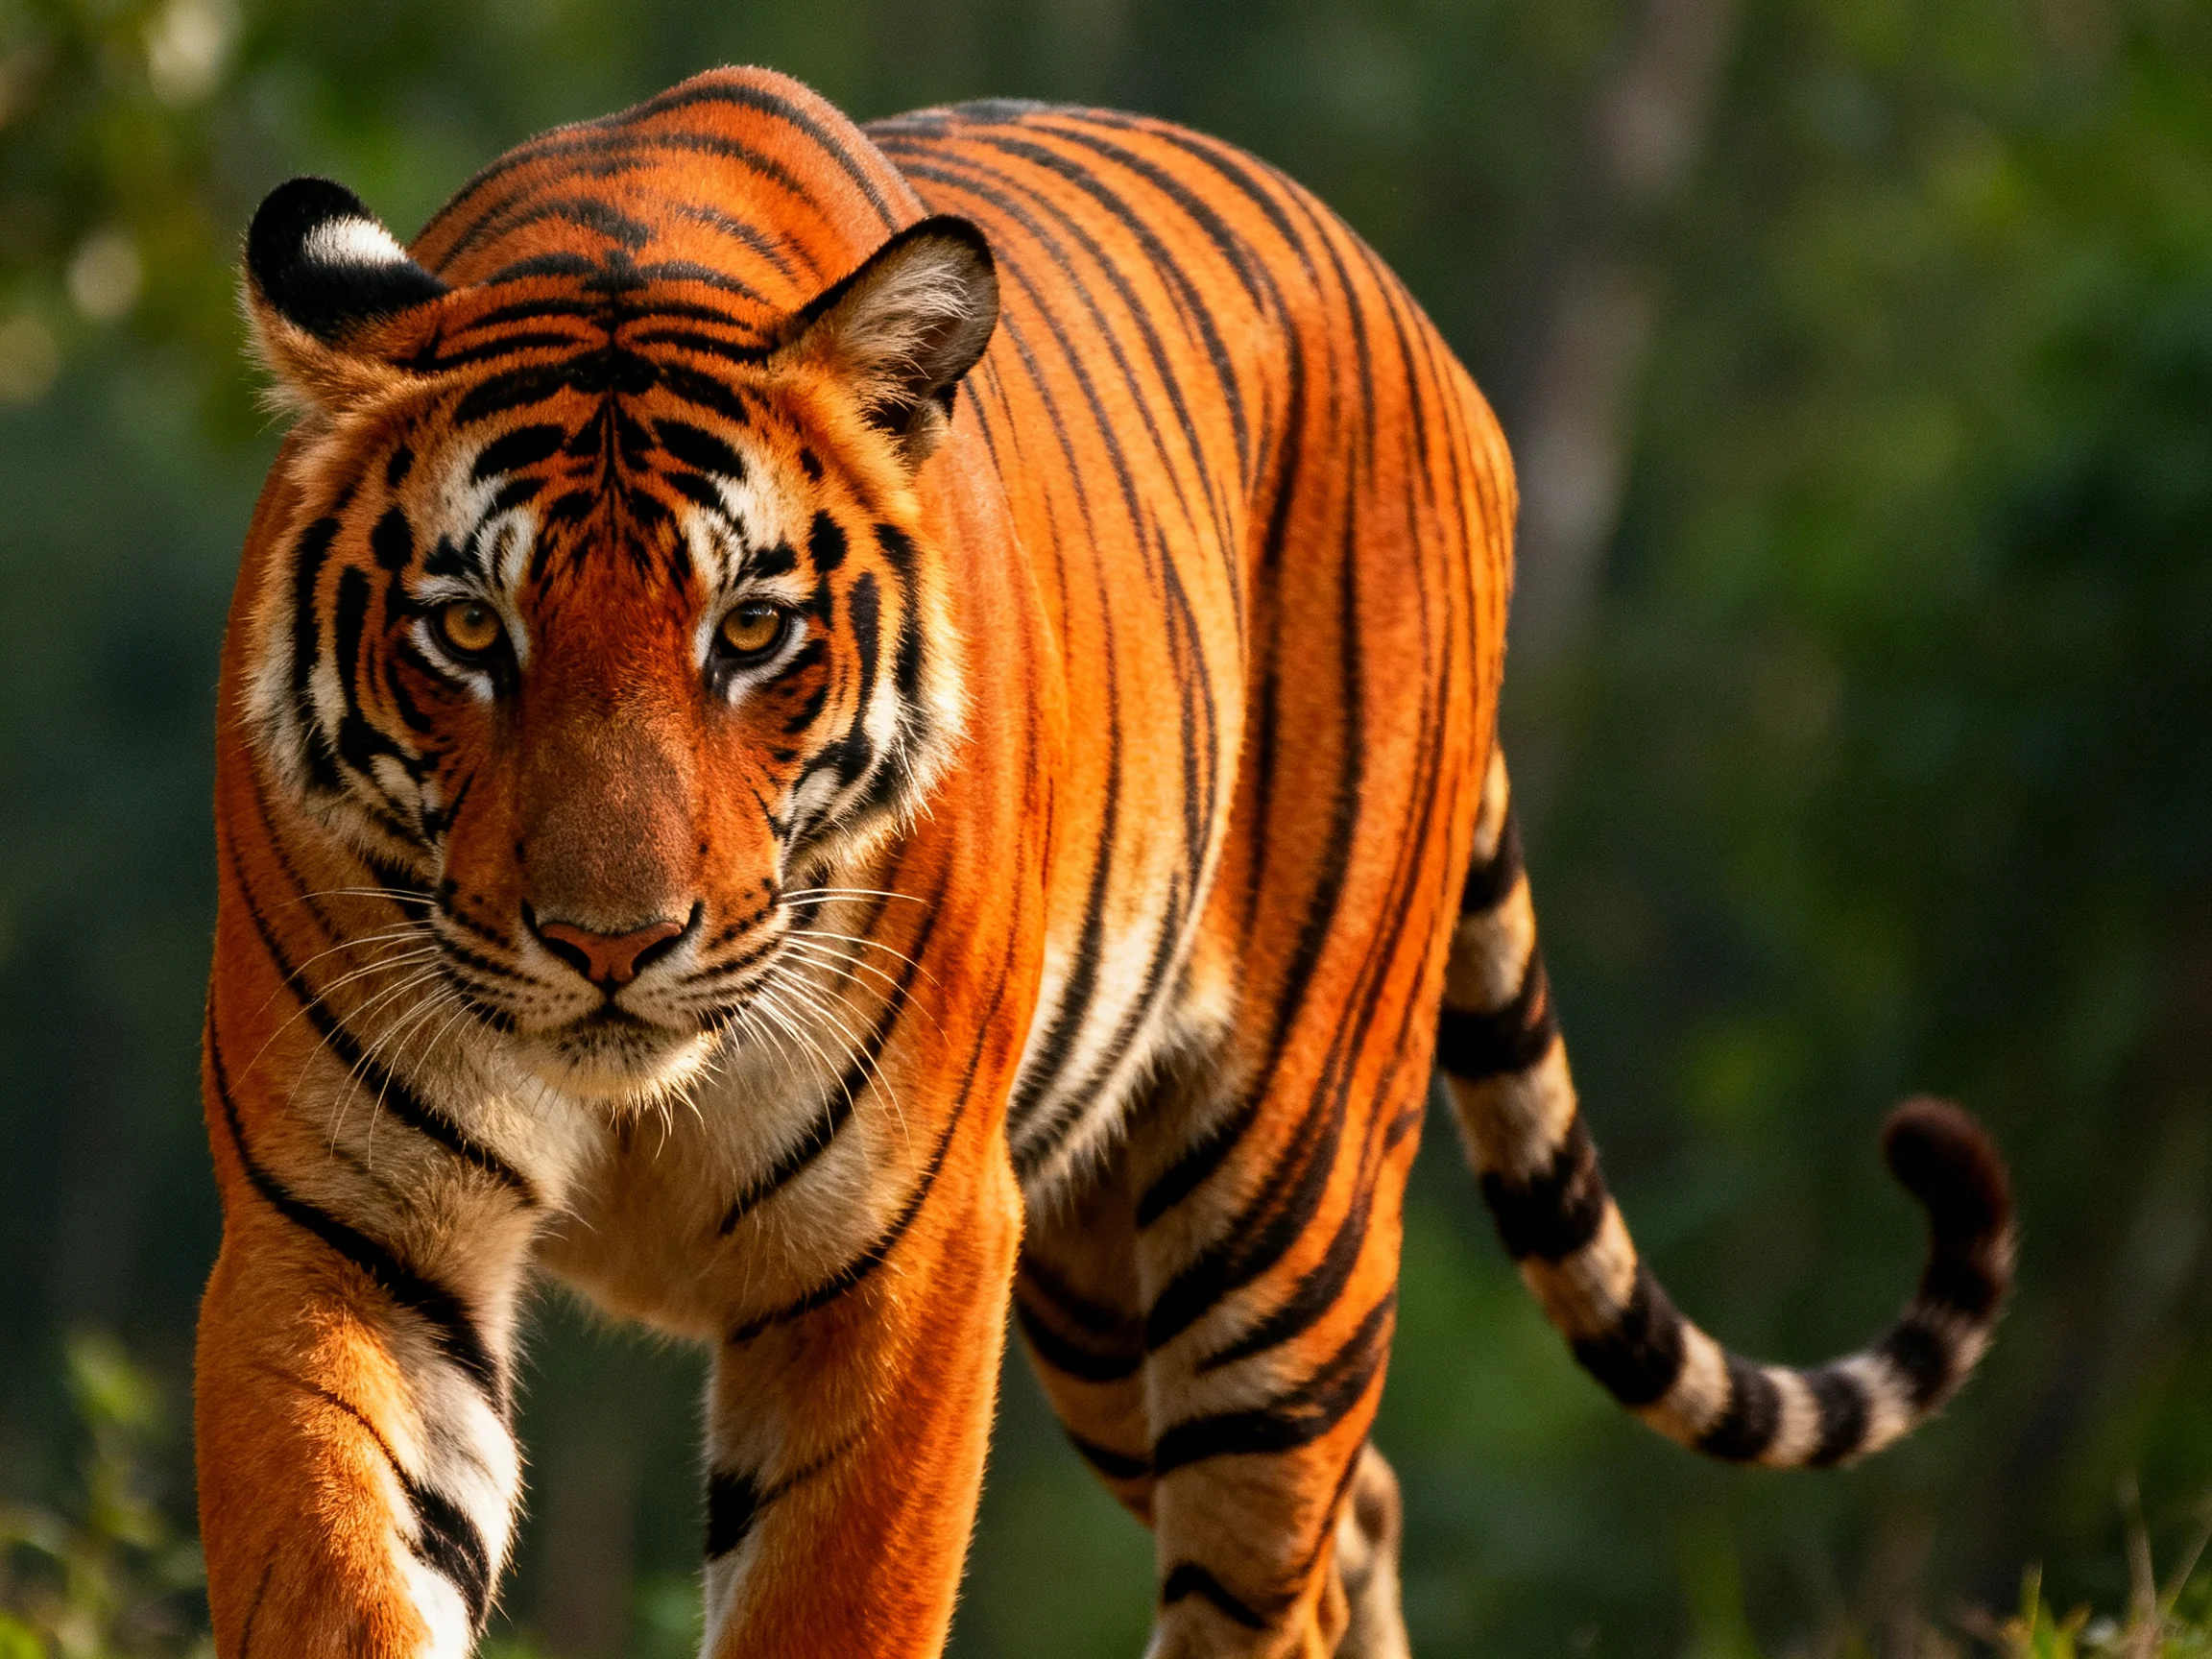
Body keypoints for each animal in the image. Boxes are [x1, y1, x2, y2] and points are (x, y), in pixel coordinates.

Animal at [194, 66, 2015, 1659]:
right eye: (466, 633)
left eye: (751, 632)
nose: (609, 941)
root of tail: (1411, 318)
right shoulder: (343, 1225)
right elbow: (341, 1580)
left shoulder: (903, 1246)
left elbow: (832, 1604)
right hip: (1091, 1280)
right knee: (1361, 1518)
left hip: (1278, 1209)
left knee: (1267, 1564)